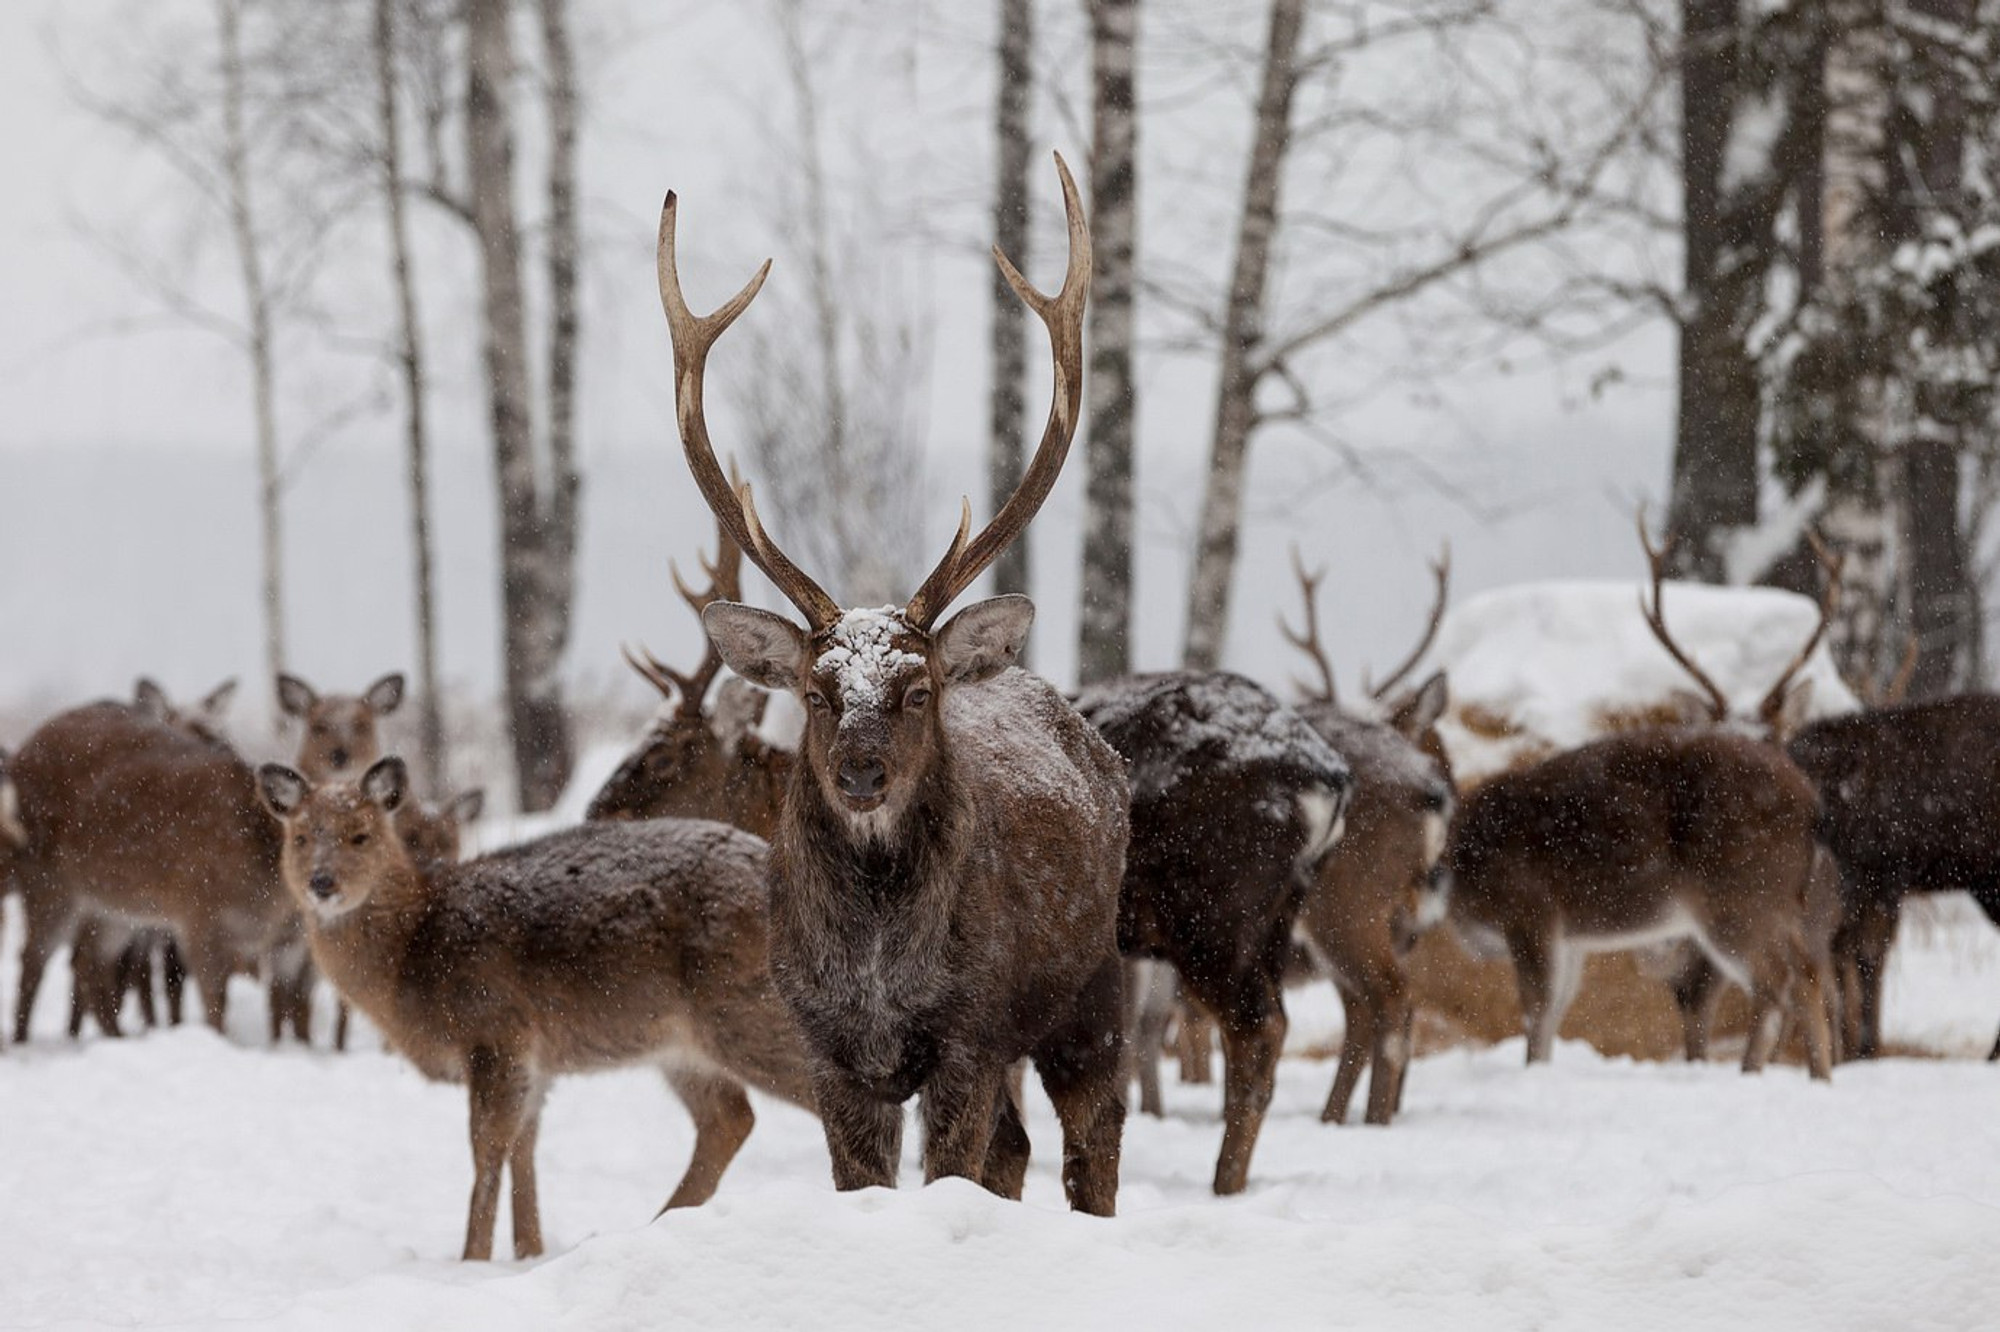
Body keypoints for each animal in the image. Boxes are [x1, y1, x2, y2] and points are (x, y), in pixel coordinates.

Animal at [258, 756, 812, 1256]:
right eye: (301, 837)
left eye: (361, 835)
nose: (322, 883)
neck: (413, 948)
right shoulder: (533, 1059)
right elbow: (524, 1148)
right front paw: (529, 1250)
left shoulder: (495, 1026)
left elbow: (486, 1151)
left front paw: (473, 1259)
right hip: (682, 1045)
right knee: (730, 1119)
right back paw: (659, 1223)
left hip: (744, 1008)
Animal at [664, 156, 1136, 1216]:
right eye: (815, 690)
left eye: (918, 691)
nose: (861, 774)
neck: (878, 969)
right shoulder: (829, 1052)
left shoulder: (969, 1033)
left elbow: (955, 1166)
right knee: (1018, 1149)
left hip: (1092, 983)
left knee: (1095, 1139)